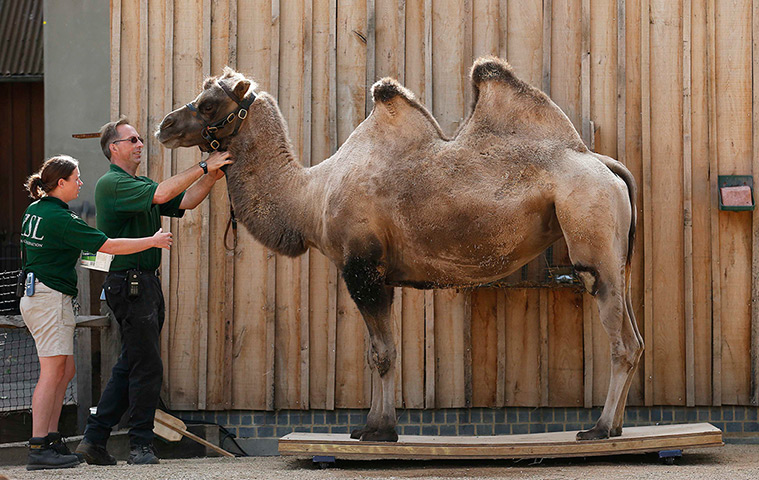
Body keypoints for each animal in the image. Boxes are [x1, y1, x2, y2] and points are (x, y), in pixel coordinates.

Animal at [156, 56, 642, 443]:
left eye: (209, 104)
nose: (164, 125)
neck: (310, 197)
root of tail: (605, 164)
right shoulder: (377, 274)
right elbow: (378, 354)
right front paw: (369, 427)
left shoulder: (362, 267)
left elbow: (383, 354)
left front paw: (380, 430)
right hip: (618, 257)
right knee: (634, 335)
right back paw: (616, 426)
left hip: (590, 227)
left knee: (620, 339)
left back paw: (598, 429)